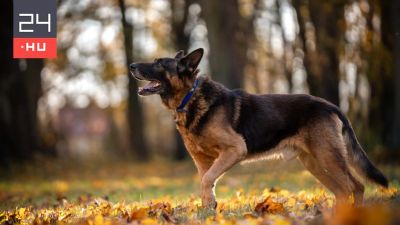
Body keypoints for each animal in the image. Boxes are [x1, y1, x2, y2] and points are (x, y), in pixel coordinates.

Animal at [130, 48, 388, 208]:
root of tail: (330, 105)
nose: (131, 65)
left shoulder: (235, 149)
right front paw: (209, 210)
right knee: (343, 192)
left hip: (328, 156)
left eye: (159, 64)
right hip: (314, 162)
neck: (190, 98)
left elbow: (207, 181)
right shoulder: (202, 162)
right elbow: (206, 184)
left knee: (356, 186)